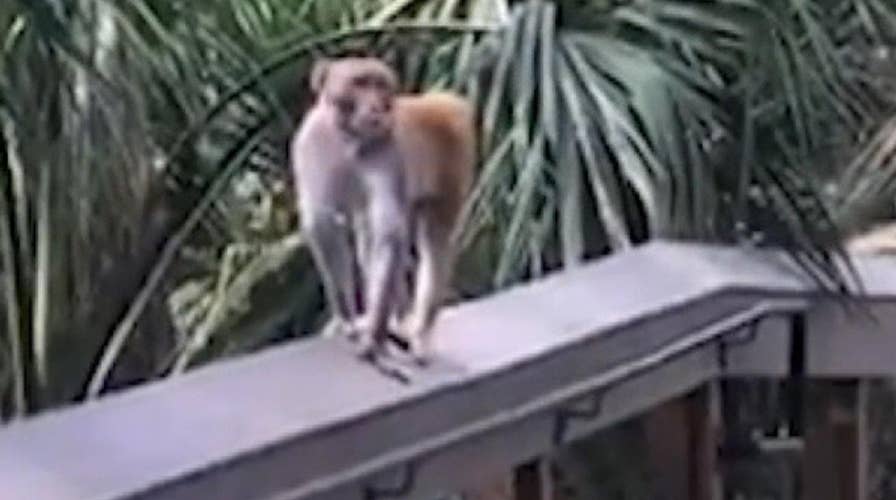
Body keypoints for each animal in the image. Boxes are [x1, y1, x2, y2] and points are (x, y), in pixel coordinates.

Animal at [290, 56, 475, 365]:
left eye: (381, 85)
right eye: (360, 83)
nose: (377, 105)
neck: (350, 138)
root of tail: (440, 101)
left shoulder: (389, 151)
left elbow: (388, 232)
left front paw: (373, 338)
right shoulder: (310, 142)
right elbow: (322, 222)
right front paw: (346, 320)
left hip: (455, 162)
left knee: (435, 243)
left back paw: (419, 332)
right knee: (369, 236)